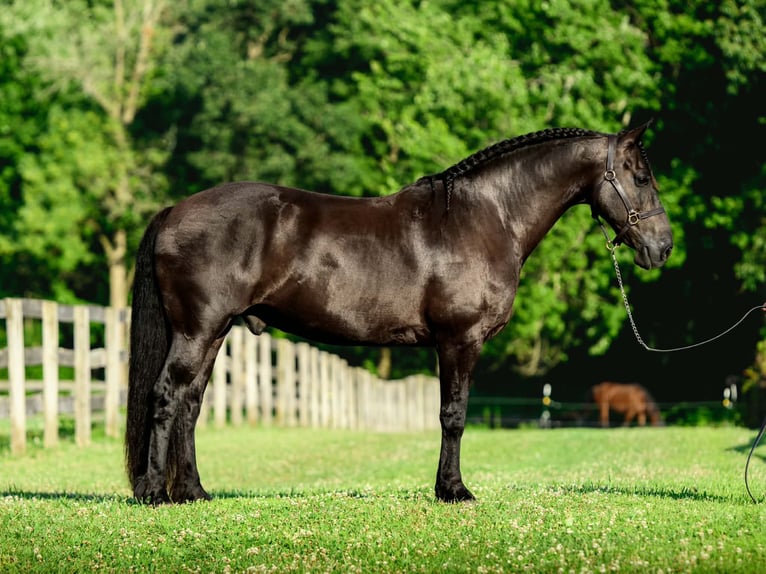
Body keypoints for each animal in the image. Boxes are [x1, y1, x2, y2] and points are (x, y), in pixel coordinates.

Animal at [126, 121, 673, 504]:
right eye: (641, 176)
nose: (662, 248)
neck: (486, 217)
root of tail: (174, 211)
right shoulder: (459, 340)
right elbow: (453, 415)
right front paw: (454, 491)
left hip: (214, 333)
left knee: (191, 404)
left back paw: (193, 492)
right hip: (197, 331)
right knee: (166, 395)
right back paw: (154, 493)